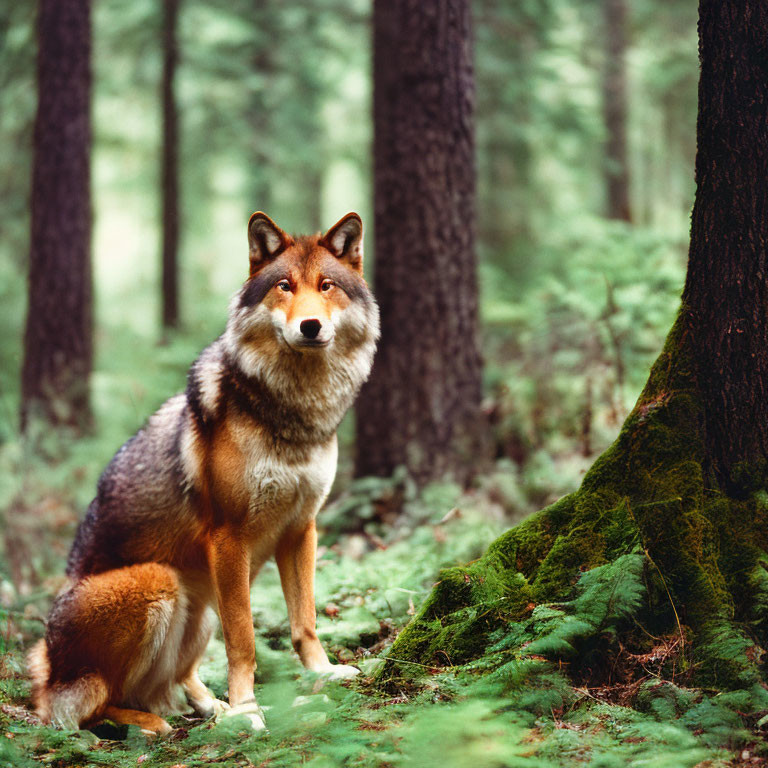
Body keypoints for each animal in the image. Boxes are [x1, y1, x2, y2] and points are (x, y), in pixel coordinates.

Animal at [27, 213, 380, 736]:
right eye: (284, 286)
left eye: (326, 285)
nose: (310, 326)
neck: (292, 413)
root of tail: (49, 668)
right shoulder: (228, 538)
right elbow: (245, 640)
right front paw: (249, 709)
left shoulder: (301, 529)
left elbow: (305, 623)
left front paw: (324, 673)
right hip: (163, 583)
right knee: (92, 704)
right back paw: (152, 722)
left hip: (200, 604)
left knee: (167, 682)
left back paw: (210, 707)